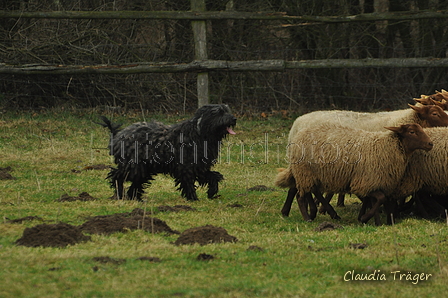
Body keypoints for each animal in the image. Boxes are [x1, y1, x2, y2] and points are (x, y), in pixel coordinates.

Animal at [99, 104, 236, 200]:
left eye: (227, 110)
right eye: (220, 112)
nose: (234, 118)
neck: (199, 133)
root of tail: (118, 135)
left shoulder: (199, 167)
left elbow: (214, 176)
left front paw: (212, 191)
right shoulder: (185, 167)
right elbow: (188, 183)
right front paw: (193, 198)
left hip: (143, 169)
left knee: (135, 183)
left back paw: (135, 198)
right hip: (133, 166)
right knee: (116, 176)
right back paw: (119, 193)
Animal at [276, 121, 434, 224]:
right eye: (412, 132)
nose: (430, 144)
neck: (387, 146)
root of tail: (299, 134)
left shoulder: (375, 183)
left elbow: (378, 200)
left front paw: (374, 221)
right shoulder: (365, 182)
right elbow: (380, 199)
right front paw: (364, 218)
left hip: (314, 174)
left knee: (311, 191)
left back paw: (326, 213)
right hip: (305, 171)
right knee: (300, 196)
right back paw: (308, 218)